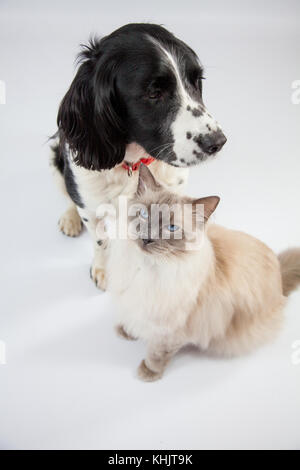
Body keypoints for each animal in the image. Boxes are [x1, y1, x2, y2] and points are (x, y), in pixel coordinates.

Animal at [50, 23, 226, 290]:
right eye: (154, 93)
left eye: (197, 82)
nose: (217, 142)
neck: (133, 163)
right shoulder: (91, 201)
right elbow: (100, 240)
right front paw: (104, 270)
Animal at [104, 163, 300, 380]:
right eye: (144, 215)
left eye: (171, 228)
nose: (147, 239)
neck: (148, 267)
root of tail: (280, 273)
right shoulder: (135, 301)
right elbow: (133, 318)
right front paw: (127, 331)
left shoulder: (171, 330)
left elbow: (158, 352)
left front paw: (148, 372)